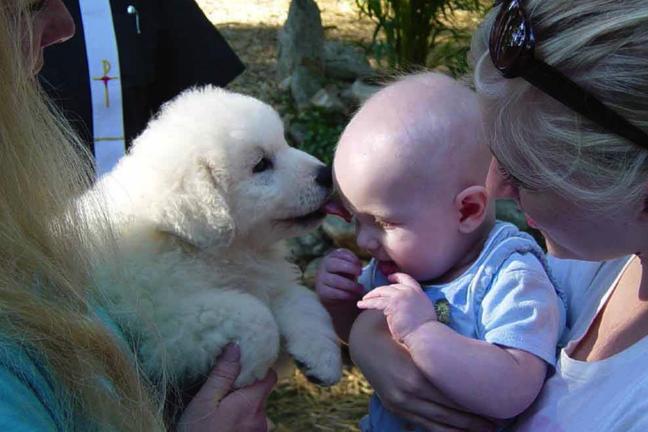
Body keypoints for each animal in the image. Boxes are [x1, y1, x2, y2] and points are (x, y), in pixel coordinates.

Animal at [87, 86, 342, 393]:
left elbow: (302, 299)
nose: (327, 174)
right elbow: (257, 315)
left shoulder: (266, 279)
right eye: (261, 164)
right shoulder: (161, 321)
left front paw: (322, 357)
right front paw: (250, 369)